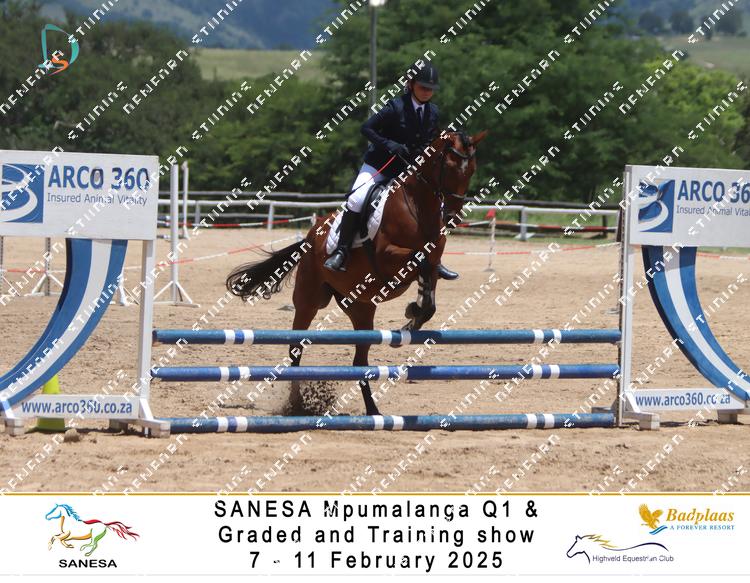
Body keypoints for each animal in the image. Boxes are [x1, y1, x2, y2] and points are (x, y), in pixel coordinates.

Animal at [226, 129, 488, 415]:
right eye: (449, 166)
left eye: (472, 169)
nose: (452, 215)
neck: (418, 206)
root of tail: (310, 236)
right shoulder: (388, 258)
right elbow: (417, 261)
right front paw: (412, 313)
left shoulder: (432, 263)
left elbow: (429, 292)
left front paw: (412, 318)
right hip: (309, 301)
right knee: (295, 348)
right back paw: (296, 405)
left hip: (360, 306)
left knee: (359, 361)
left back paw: (373, 411)